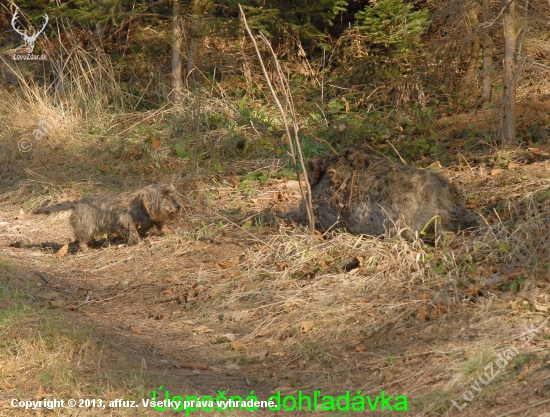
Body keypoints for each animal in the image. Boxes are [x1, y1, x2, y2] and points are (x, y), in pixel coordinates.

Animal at [33, 184, 182, 250]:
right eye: (163, 197)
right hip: (86, 225)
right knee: (82, 239)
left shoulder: (155, 220)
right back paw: (86, 247)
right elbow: (132, 232)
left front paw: (170, 233)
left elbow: (161, 226)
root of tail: (77, 203)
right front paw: (140, 241)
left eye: (171, 194)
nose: (178, 206)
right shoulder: (124, 222)